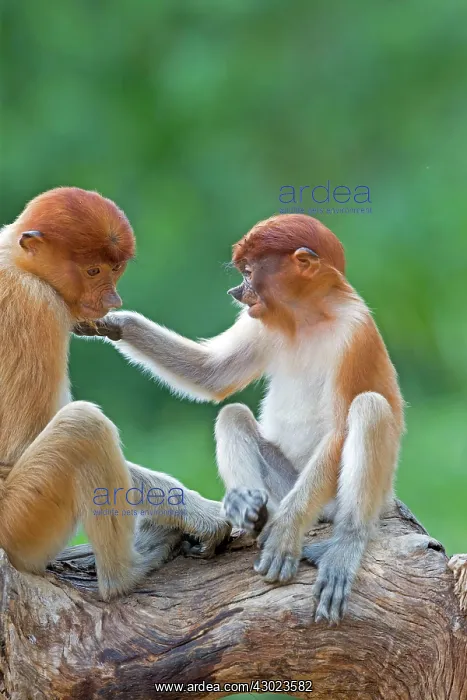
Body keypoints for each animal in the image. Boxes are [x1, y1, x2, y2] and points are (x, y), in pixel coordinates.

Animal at [0, 187, 230, 601]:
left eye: (116, 269)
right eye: (93, 271)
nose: (112, 302)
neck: (16, 263)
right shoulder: (38, 305)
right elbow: (23, 442)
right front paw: (204, 514)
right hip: (19, 522)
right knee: (83, 425)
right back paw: (127, 574)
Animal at [74, 213, 404, 622]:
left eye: (248, 272)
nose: (236, 292)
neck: (307, 317)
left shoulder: (354, 333)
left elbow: (341, 428)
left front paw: (285, 535)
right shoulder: (261, 321)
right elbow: (213, 375)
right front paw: (115, 322)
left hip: (350, 497)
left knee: (369, 407)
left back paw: (342, 544)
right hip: (285, 484)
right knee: (233, 415)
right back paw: (250, 511)